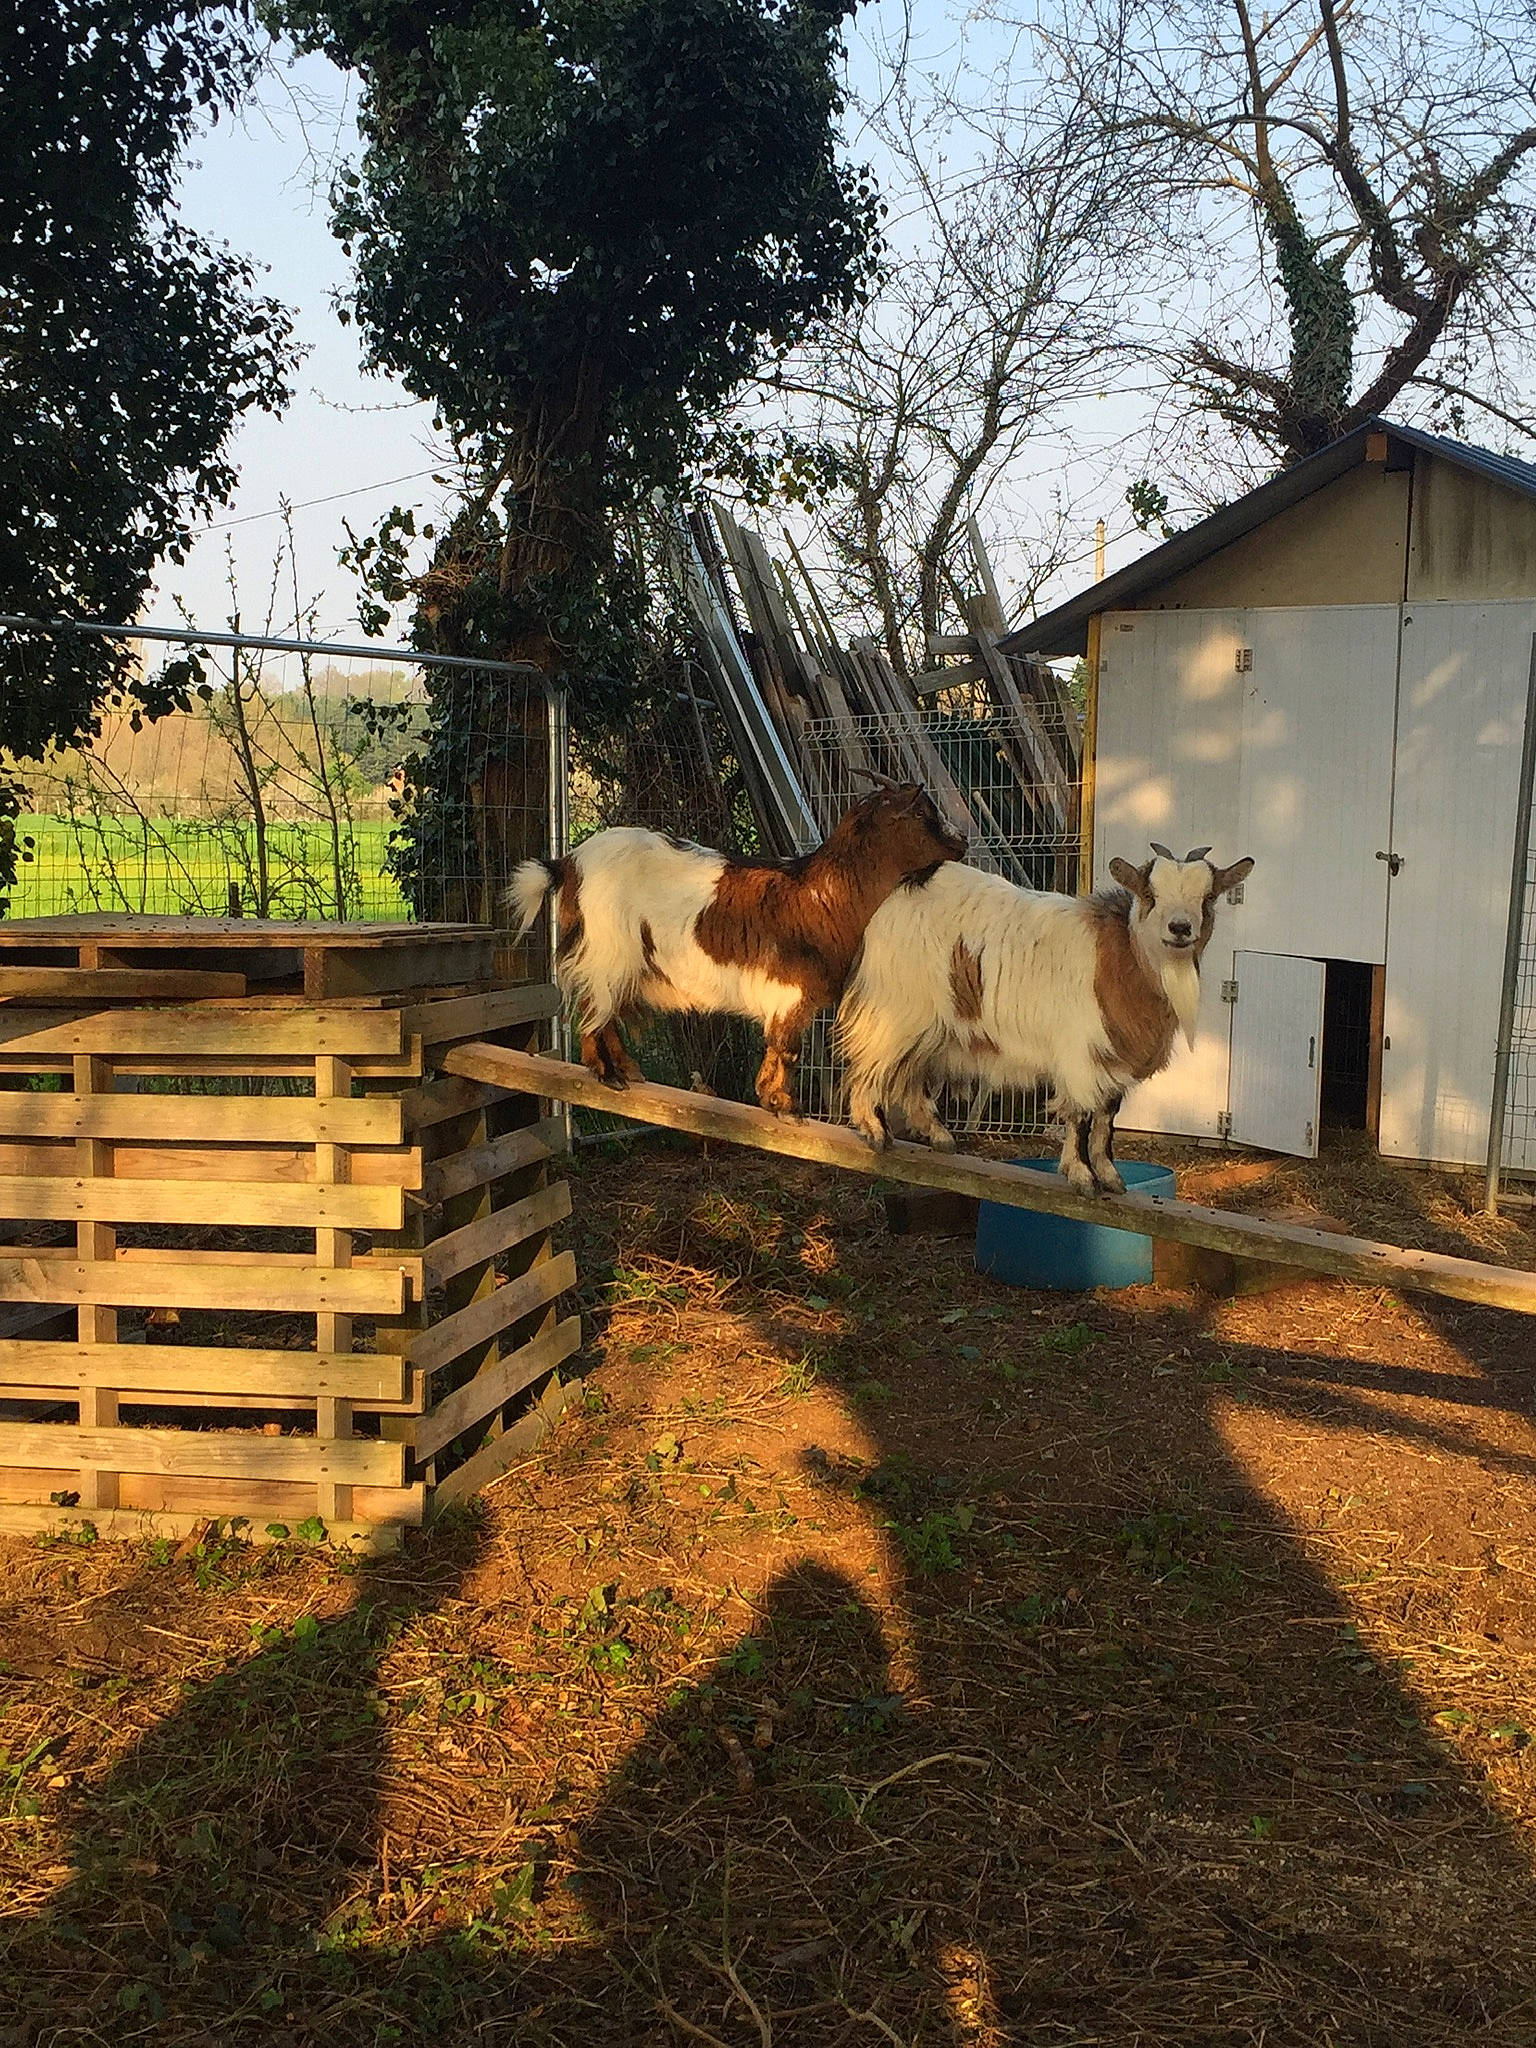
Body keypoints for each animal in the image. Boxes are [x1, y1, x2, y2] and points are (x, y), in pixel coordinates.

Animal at [506, 782, 968, 1116]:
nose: (963, 841)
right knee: (593, 1008)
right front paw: (783, 1104)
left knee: (606, 1010)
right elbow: (788, 1049)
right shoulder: (789, 993)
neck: (821, 896)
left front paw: (769, 1098)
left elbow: (781, 1049)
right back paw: (605, 1073)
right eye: (925, 814)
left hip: (620, 961)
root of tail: (567, 863)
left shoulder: (791, 1000)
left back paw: (628, 1072)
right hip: (608, 950)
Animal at [837, 841, 1253, 1194]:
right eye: (1150, 896)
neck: (1122, 956)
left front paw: (1110, 1176)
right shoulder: (1080, 1054)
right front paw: (1083, 1176)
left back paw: (939, 1136)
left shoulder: (1115, 1059)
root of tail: (909, 884)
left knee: (910, 1071)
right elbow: (1082, 1117)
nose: (1180, 928)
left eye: (1208, 897)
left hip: (932, 1023)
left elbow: (1106, 1118)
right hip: (897, 1008)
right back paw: (874, 1130)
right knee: (871, 1064)